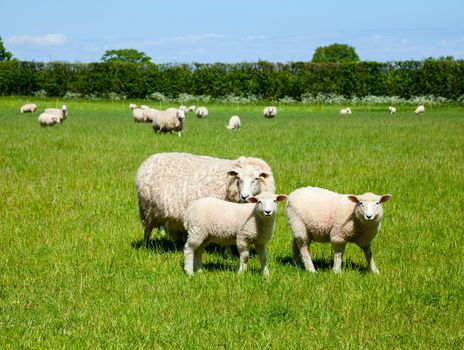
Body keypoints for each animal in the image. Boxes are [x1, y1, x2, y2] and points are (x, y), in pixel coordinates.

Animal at [135, 152, 276, 247]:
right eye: (238, 178)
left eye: (256, 178)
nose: (244, 196)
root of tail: (149, 160)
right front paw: (228, 255)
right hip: (147, 208)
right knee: (147, 230)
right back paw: (145, 246)